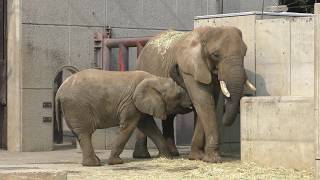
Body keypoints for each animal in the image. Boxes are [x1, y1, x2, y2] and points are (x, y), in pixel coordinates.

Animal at [54, 69, 190, 166]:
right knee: (85, 133)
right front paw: (116, 162)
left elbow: (149, 128)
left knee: (81, 134)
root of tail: (59, 90)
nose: (190, 104)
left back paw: (95, 162)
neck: (156, 79)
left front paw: (166, 157)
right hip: (77, 106)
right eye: (179, 95)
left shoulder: (140, 105)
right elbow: (128, 127)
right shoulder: (130, 103)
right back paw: (93, 164)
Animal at [132, 26, 255, 162]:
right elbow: (203, 101)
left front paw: (197, 157)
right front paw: (213, 160)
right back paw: (142, 156)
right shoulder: (189, 69)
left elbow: (208, 102)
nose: (174, 68)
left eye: (244, 53)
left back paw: (173, 153)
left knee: (169, 116)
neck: (206, 33)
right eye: (215, 55)